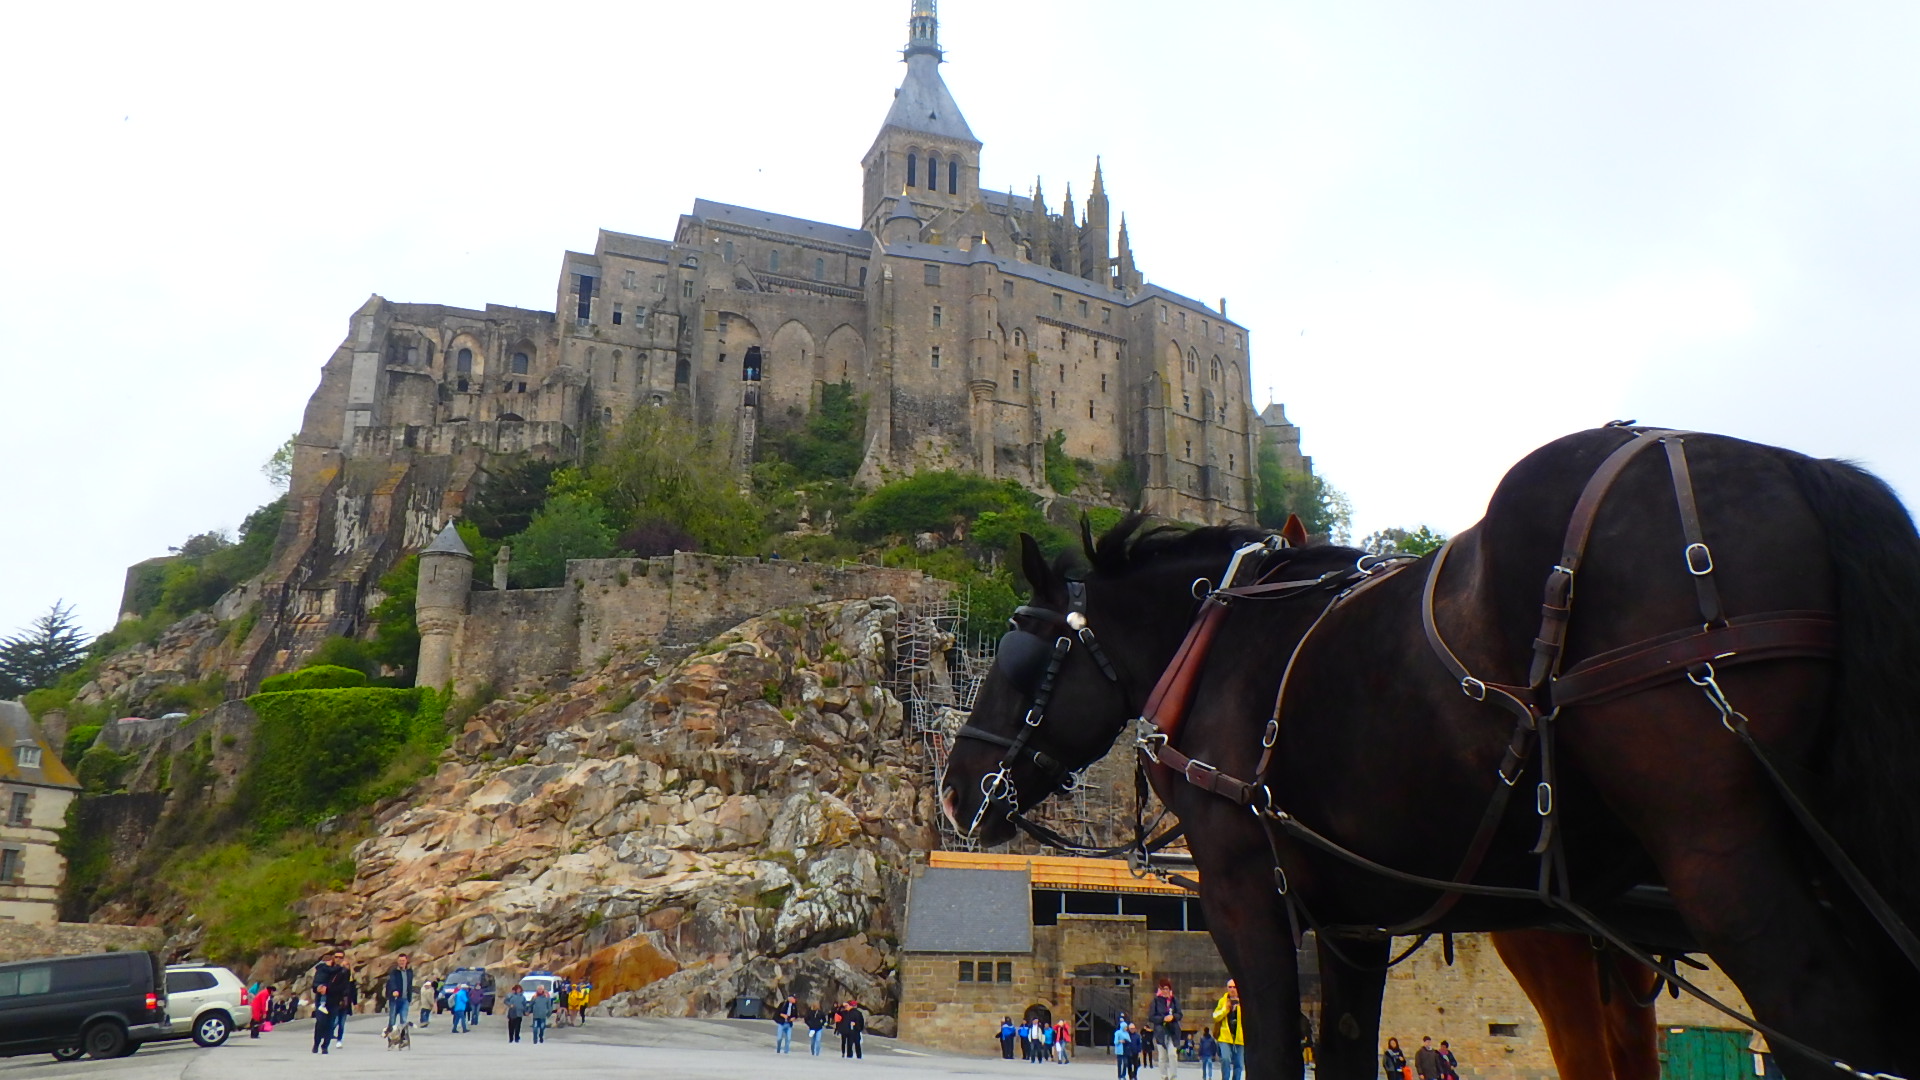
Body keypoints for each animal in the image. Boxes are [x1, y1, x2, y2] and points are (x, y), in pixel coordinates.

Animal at [940, 428, 1920, 1076]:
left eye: (1016, 657)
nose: (955, 790)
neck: (1211, 642)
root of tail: (1796, 469)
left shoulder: (1244, 894)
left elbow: (1276, 1052)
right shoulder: (1353, 922)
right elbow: (1342, 1056)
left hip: (1711, 848)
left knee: (1818, 1014)